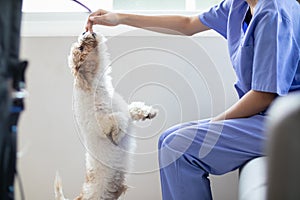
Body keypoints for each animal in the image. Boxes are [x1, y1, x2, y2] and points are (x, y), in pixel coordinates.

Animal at [54, 32, 157, 199]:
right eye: (81, 47)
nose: (85, 32)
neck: (98, 88)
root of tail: (80, 196)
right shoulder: (100, 124)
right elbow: (118, 119)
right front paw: (117, 135)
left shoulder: (125, 110)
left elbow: (132, 109)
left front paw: (148, 112)